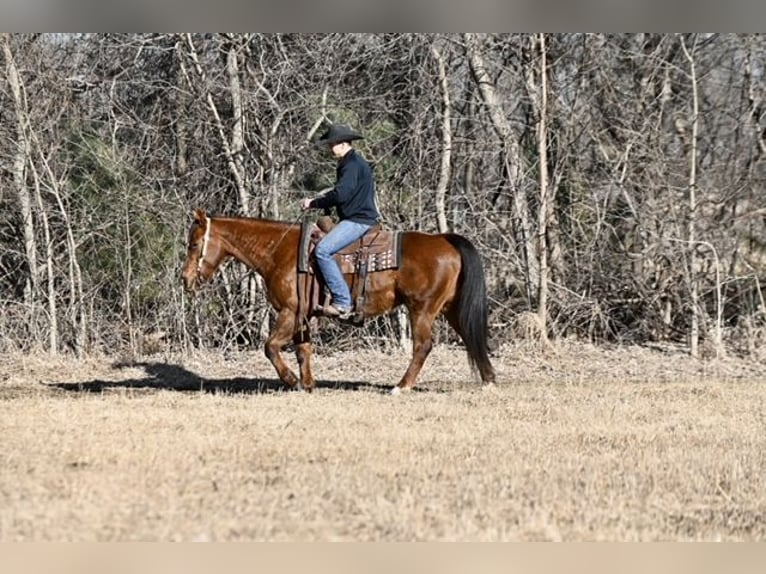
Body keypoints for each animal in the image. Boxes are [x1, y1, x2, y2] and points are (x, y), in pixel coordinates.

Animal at [182, 209, 496, 394]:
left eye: (194, 244)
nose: (186, 279)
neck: (280, 252)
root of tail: (446, 240)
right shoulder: (303, 315)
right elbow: (304, 350)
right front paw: (307, 384)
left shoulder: (289, 312)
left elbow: (270, 347)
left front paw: (292, 380)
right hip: (450, 309)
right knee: (471, 337)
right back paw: (489, 379)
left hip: (422, 308)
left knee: (423, 346)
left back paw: (401, 386)